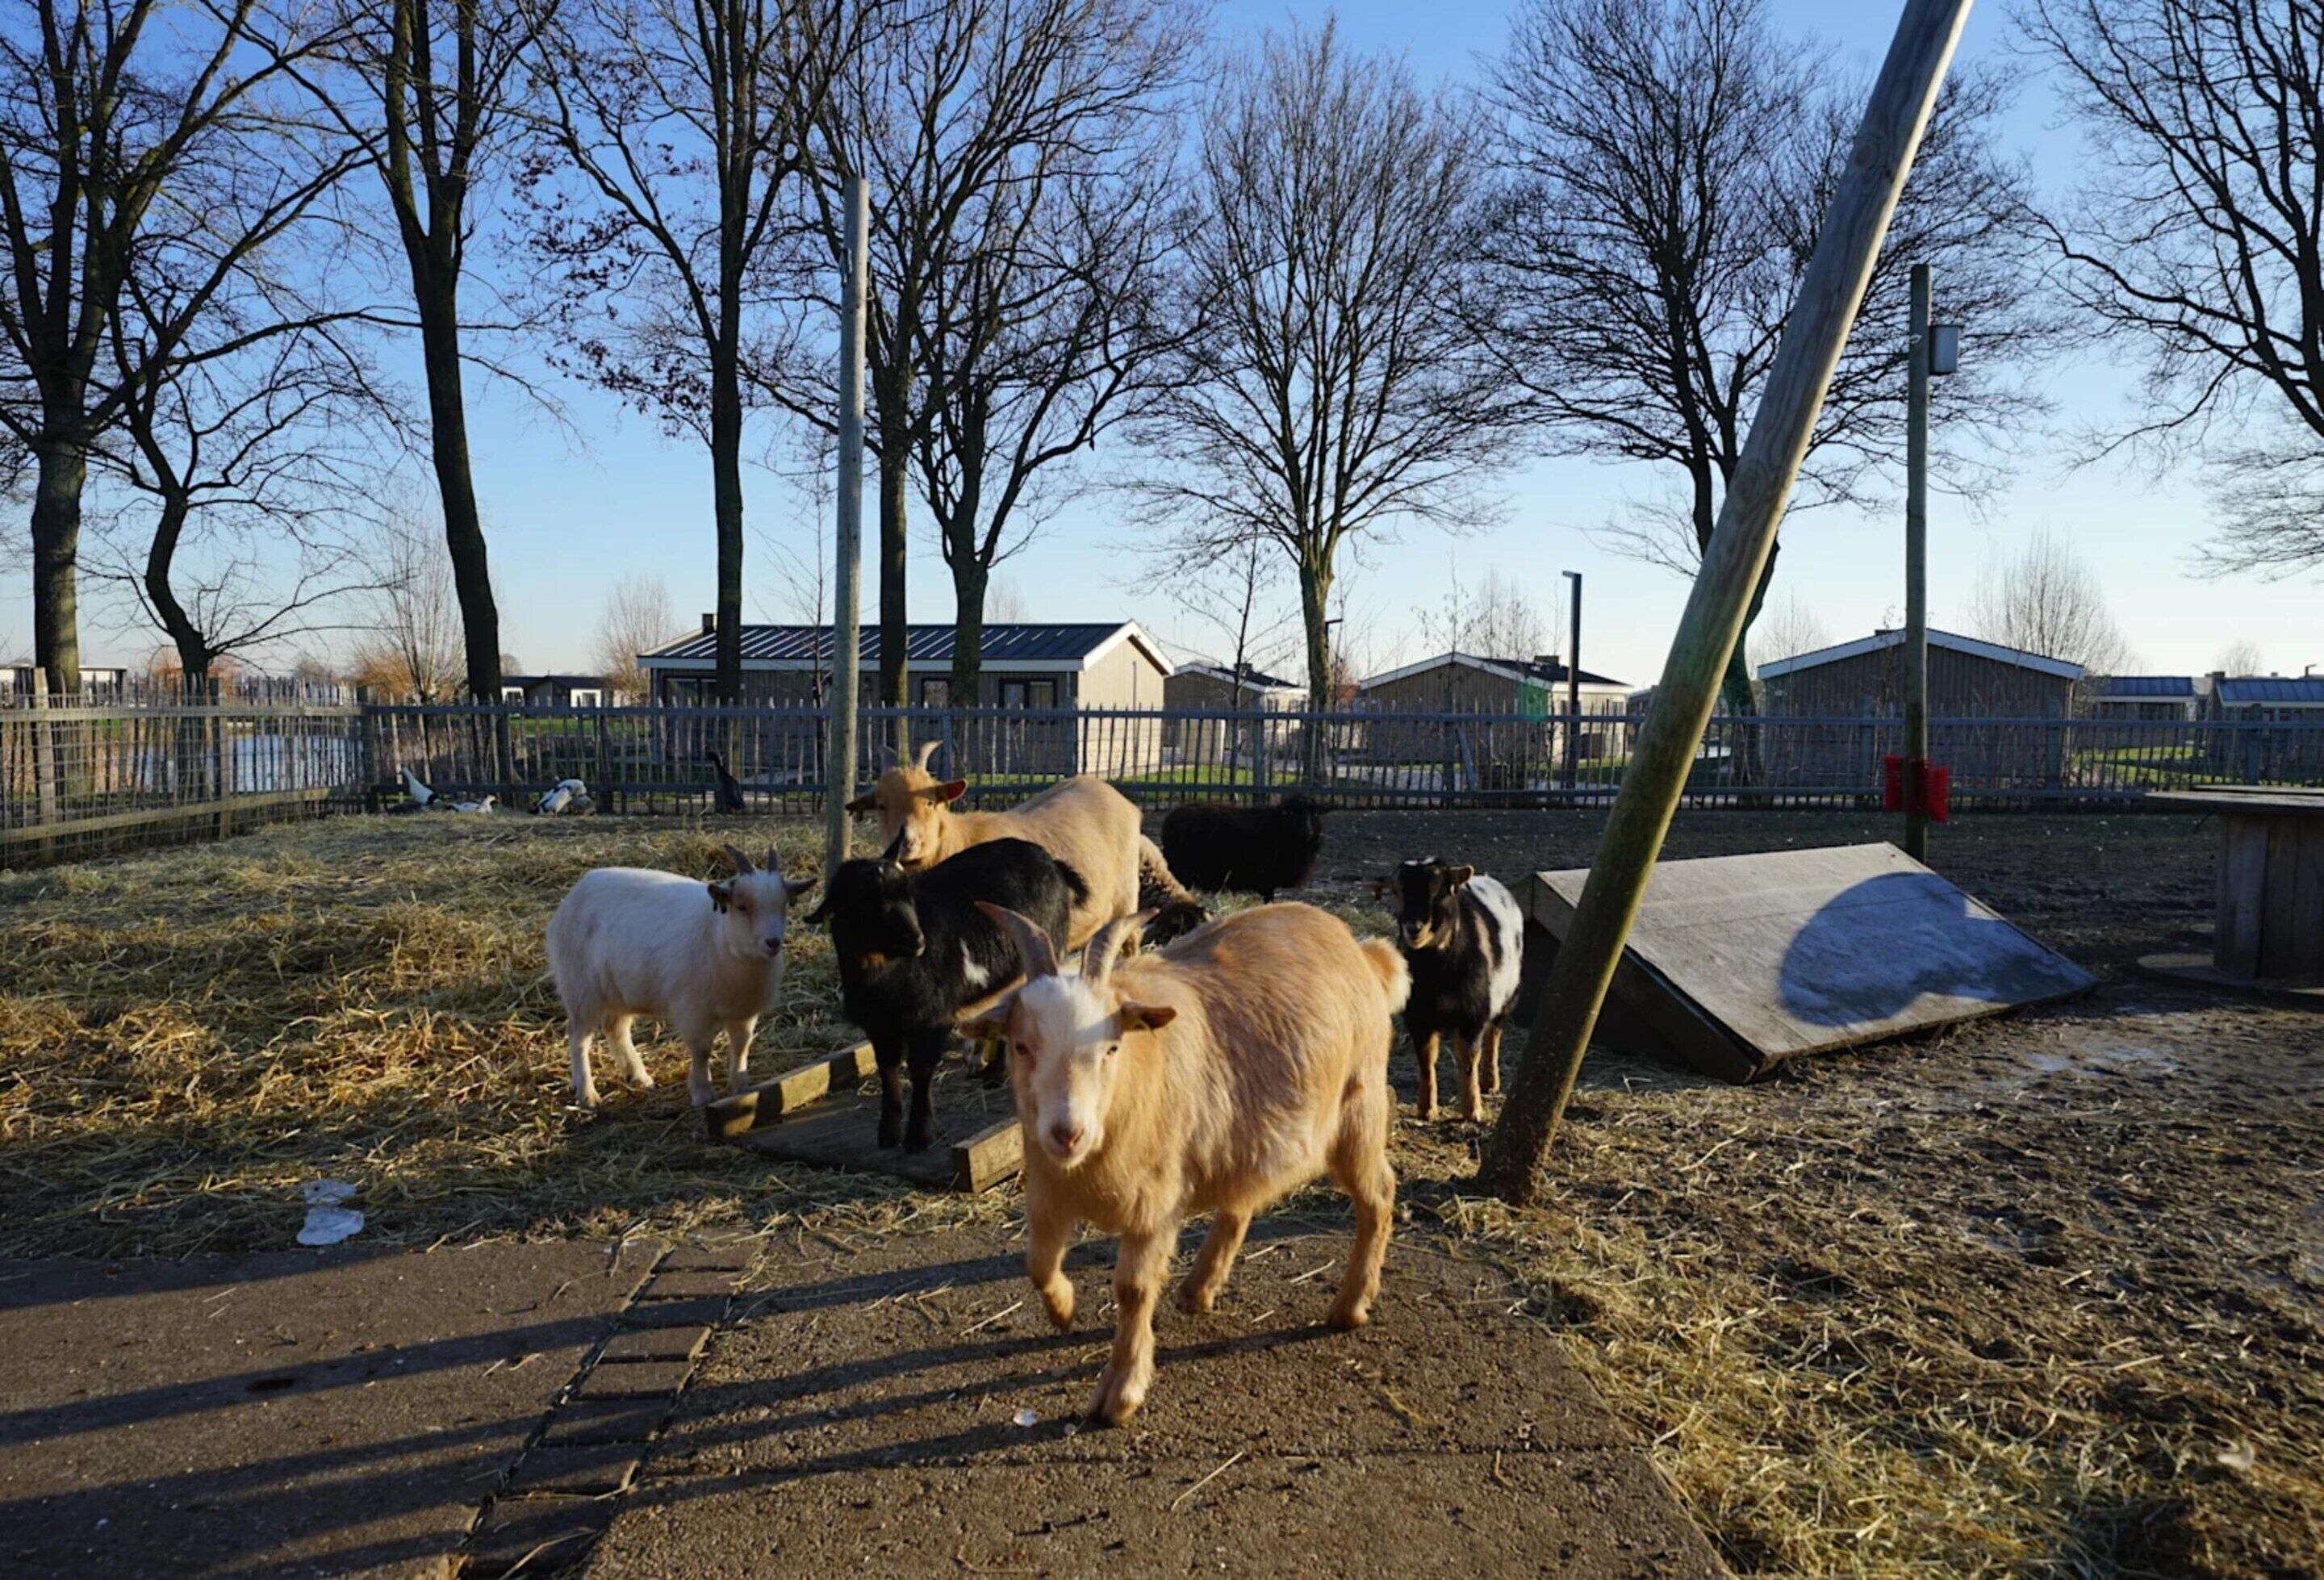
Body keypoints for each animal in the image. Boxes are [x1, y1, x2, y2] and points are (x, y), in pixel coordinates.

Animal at [545, 844, 813, 1108]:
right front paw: (703, 1093)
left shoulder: (744, 1013)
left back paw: (639, 1076)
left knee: (616, 1029)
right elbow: (702, 1051)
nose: (773, 943)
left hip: (618, 991)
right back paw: (587, 1093)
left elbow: (741, 1047)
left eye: (784, 905)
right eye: (742, 906)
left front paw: (741, 1087)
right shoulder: (693, 1012)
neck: (718, 938)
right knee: (579, 1037)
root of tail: (575, 894)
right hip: (580, 989)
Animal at [806, 835, 1086, 1153]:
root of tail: (1052, 862)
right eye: (866, 901)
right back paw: (994, 1075)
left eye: (908, 896)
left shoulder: (931, 1020)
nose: (917, 940)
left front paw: (919, 1136)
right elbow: (887, 1068)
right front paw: (888, 1134)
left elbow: (921, 1070)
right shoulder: (879, 1025)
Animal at [968, 900, 1407, 1426]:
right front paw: (1063, 1310)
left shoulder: (1154, 1204)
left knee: (1378, 1196)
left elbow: (1133, 1289)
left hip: (1358, 1114)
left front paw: (1121, 1391)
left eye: (1112, 1047)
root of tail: (1362, 950)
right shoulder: (1048, 1195)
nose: (1067, 1133)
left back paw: (1351, 1305)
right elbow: (1037, 1264)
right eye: (1021, 1046)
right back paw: (1198, 1288)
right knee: (1242, 1201)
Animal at [1158, 794, 1328, 902]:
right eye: (1292, 813)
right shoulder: (1267, 879)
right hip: (1180, 871)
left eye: (1314, 813)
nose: (1307, 832)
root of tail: (1170, 818)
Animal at [1375, 859, 1525, 1122]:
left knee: (1494, 1034)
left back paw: (1490, 1082)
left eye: (1441, 891)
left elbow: (1468, 1060)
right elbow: (1426, 1060)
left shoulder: (1472, 1014)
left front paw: (1472, 1110)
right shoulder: (1418, 1017)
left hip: (1508, 996)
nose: (1414, 928)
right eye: (1396, 892)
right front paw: (1426, 1109)